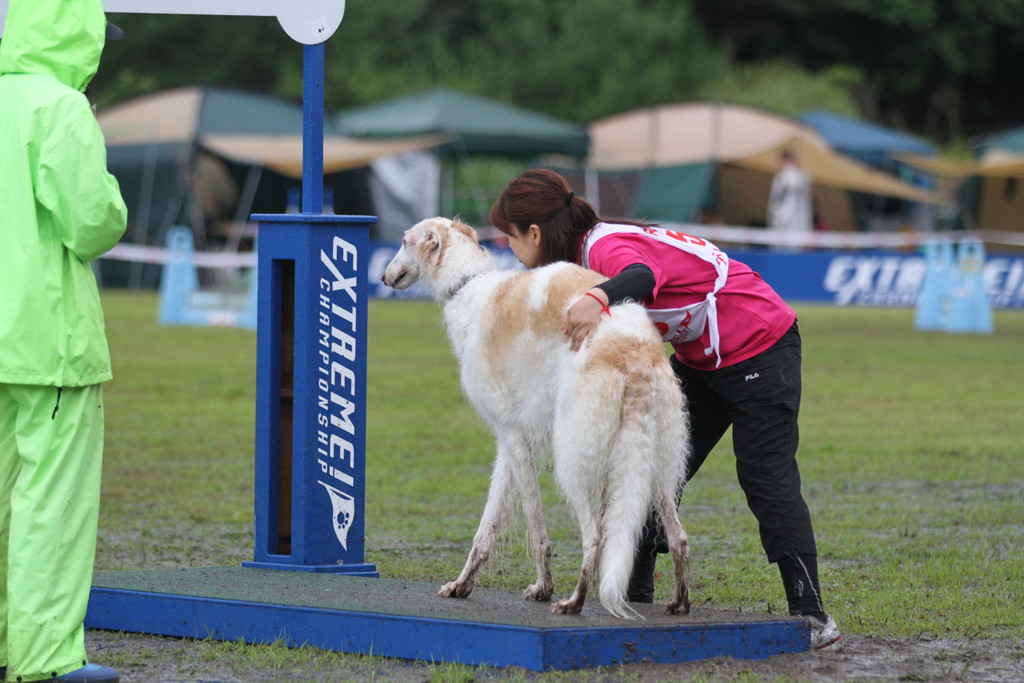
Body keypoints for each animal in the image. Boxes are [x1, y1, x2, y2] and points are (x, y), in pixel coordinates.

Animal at [380, 219, 692, 618]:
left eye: (405, 241)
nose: (385, 277)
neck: (468, 284)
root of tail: (632, 348)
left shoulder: (514, 437)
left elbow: (535, 526)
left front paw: (543, 587)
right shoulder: (508, 441)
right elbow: (487, 526)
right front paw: (462, 585)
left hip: (574, 455)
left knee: (595, 536)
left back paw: (573, 601)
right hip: (661, 462)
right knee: (678, 536)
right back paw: (680, 602)